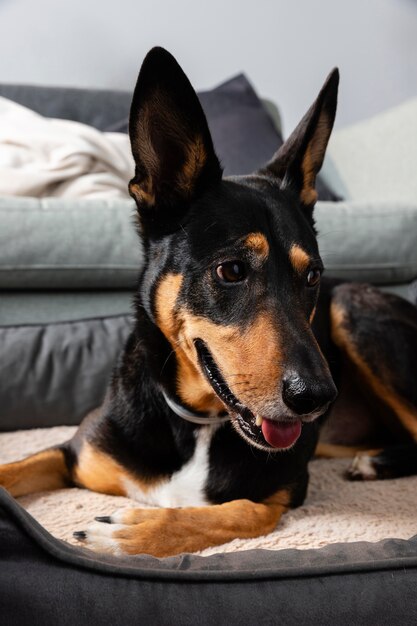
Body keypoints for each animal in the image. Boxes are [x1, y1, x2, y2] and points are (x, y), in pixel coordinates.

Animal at [0, 48, 416, 556]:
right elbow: (13, 467)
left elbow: (230, 511)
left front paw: (133, 531)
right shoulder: (74, 452)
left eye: (312, 276)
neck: (197, 421)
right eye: (232, 270)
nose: (317, 398)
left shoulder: (279, 494)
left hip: (352, 306)